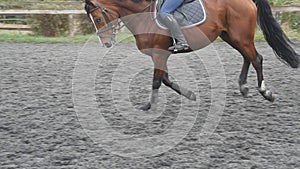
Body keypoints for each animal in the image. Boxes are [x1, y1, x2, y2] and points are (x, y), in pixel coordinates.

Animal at [82, 0, 300, 110]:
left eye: (99, 18)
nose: (106, 43)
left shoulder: (159, 54)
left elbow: (157, 81)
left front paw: (148, 106)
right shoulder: (159, 55)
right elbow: (166, 79)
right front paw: (190, 94)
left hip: (241, 36)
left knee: (256, 59)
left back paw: (266, 92)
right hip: (231, 36)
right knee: (248, 57)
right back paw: (243, 87)